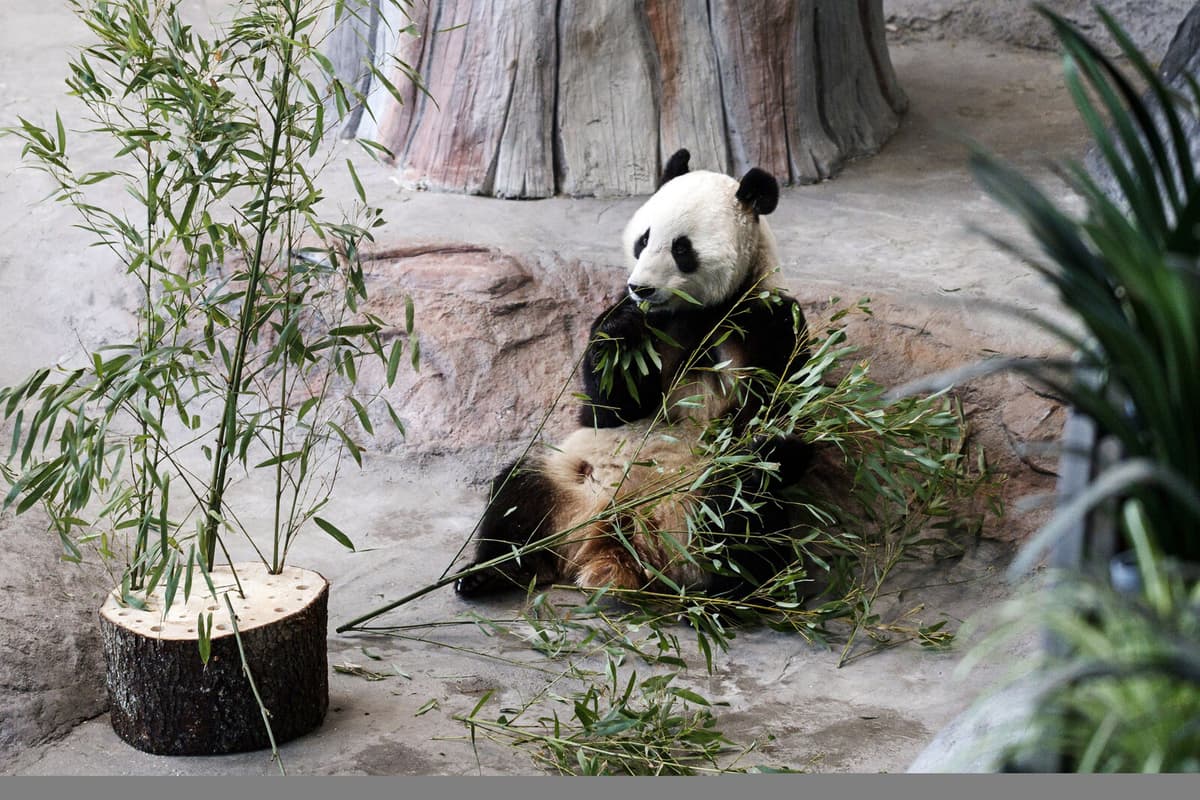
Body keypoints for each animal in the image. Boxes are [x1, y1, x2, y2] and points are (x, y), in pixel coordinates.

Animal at [455, 149, 812, 601]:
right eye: (643, 239)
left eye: (682, 248)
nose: (640, 288)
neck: (697, 313)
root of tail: (615, 543)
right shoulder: (652, 326)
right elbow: (608, 407)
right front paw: (621, 331)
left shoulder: (767, 319)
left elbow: (782, 407)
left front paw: (772, 440)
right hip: (566, 476)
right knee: (516, 494)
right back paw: (490, 571)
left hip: (697, 504)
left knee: (741, 518)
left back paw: (744, 594)